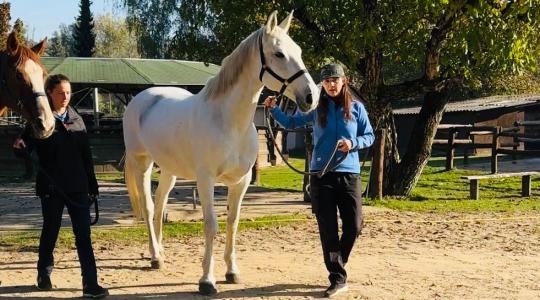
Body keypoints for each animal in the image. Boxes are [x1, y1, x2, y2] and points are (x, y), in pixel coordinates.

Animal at [123, 10, 318, 294]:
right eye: (279, 54)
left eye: (300, 51)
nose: (311, 97)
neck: (229, 122)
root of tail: (142, 99)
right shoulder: (206, 180)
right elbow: (211, 225)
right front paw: (207, 280)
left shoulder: (241, 182)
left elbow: (232, 223)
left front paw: (232, 271)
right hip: (143, 163)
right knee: (148, 208)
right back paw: (155, 256)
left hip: (169, 170)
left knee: (160, 206)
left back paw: (160, 252)